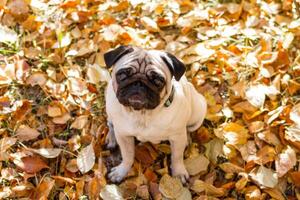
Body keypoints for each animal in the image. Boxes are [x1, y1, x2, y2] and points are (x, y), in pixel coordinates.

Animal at [105, 45, 206, 183]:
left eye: (157, 80)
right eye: (123, 75)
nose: (138, 83)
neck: (142, 114)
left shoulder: (177, 138)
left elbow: (177, 157)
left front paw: (179, 173)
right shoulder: (123, 135)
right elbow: (127, 155)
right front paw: (122, 171)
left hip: (197, 111)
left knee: (188, 129)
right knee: (110, 125)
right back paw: (111, 138)